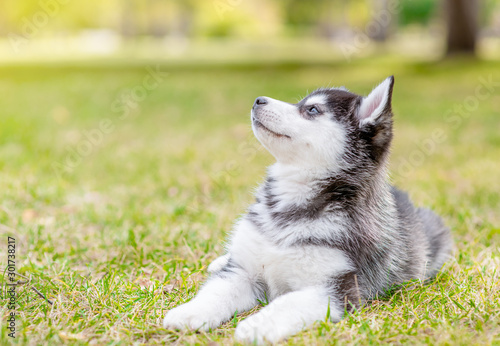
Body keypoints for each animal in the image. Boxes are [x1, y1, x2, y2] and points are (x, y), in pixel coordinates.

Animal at [162, 76, 452, 344]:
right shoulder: (243, 272)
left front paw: (257, 325)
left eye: (312, 110)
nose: (258, 100)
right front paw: (188, 313)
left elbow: (288, 303)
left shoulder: (339, 289)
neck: (291, 204)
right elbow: (217, 291)